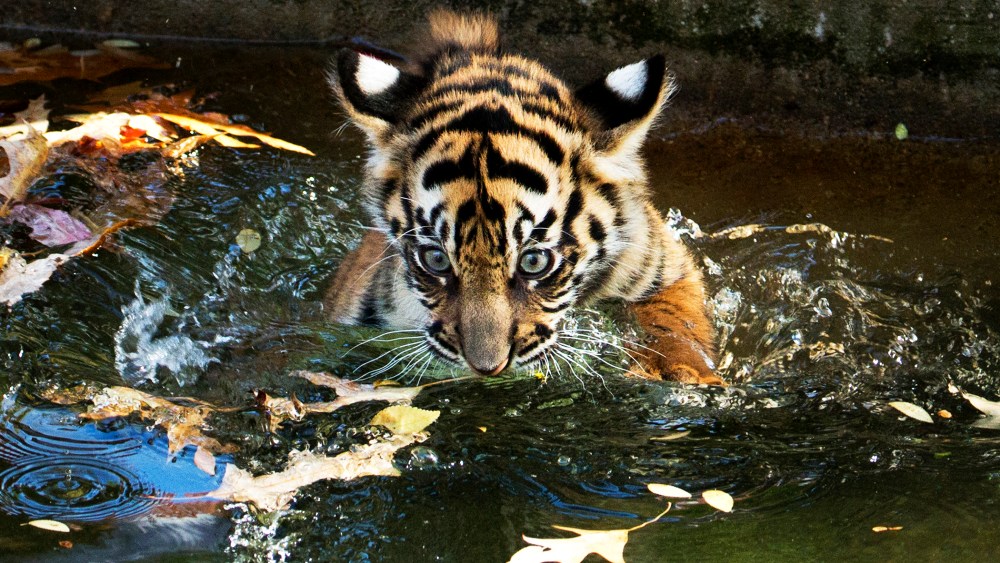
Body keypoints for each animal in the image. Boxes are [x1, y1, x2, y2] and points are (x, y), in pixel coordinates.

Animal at [324, 10, 721, 385]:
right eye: (436, 259)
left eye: (534, 262)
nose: (488, 367)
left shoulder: (664, 267)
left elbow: (673, 320)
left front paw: (682, 372)